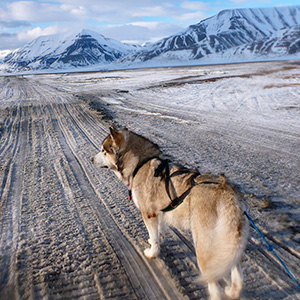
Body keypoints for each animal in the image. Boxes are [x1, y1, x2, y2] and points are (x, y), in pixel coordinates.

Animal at [91, 127, 248, 300]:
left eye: (103, 151)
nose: (91, 159)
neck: (139, 163)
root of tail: (227, 192)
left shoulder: (148, 214)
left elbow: (154, 238)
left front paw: (152, 253)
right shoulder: (159, 213)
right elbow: (158, 232)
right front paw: (158, 241)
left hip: (204, 247)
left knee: (215, 287)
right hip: (228, 243)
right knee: (237, 275)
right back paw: (233, 291)